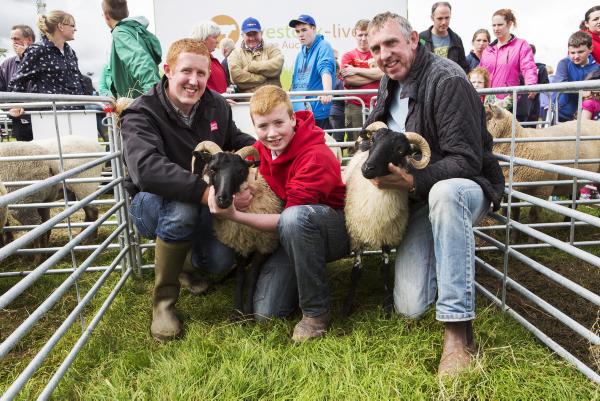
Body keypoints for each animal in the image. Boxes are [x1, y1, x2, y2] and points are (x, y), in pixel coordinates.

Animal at [342, 120, 432, 314]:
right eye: (373, 140)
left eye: (400, 150)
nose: (367, 168)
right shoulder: (357, 234)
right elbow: (356, 271)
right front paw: (347, 305)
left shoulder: (387, 235)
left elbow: (384, 269)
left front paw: (388, 304)